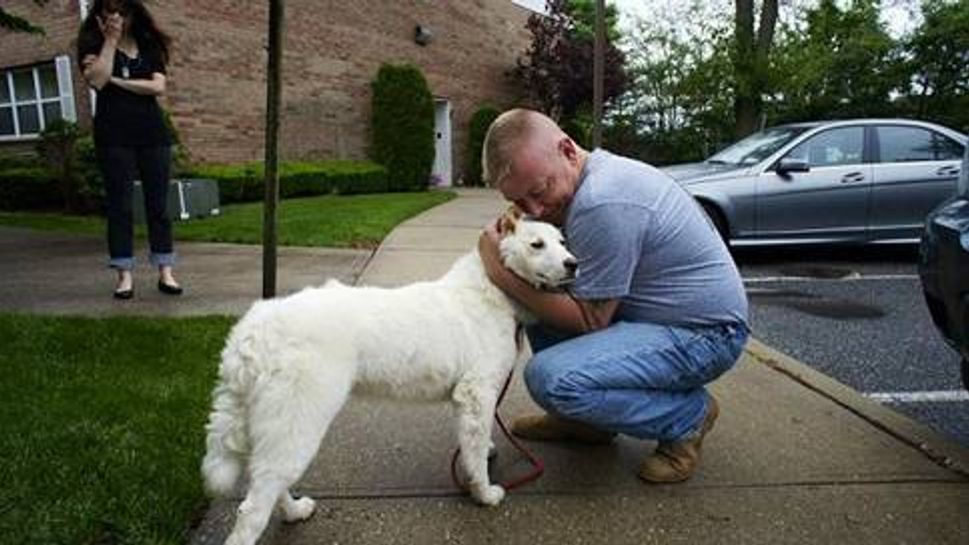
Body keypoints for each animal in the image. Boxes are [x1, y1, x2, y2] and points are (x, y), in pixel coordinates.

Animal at [199, 209, 576, 544]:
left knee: (268, 482)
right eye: (536, 244)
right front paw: (483, 493)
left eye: (562, 242)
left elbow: (475, 442)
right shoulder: (477, 392)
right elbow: (475, 450)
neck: (491, 288)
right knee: (252, 509)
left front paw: (485, 455)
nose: (573, 264)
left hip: (278, 428)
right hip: (296, 422)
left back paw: (293, 511)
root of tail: (254, 329)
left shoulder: (468, 400)